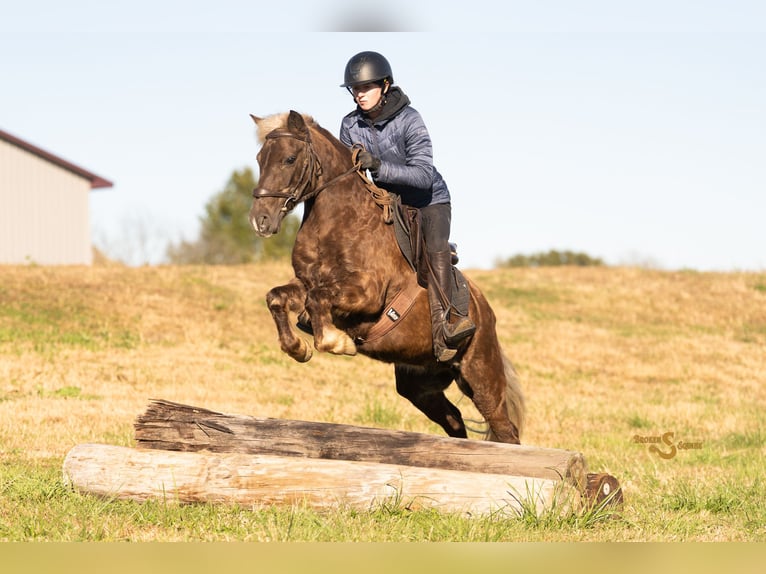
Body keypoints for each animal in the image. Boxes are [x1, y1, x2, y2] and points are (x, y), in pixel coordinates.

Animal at [248, 110, 524, 444]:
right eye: (260, 158)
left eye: (289, 159)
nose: (260, 220)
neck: (334, 222)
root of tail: (486, 311)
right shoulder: (305, 283)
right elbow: (277, 297)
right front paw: (299, 348)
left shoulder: (368, 293)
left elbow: (318, 301)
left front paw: (338, 342)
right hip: (420, 383)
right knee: (455, 420)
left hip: (480, 373)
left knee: (504, 429)